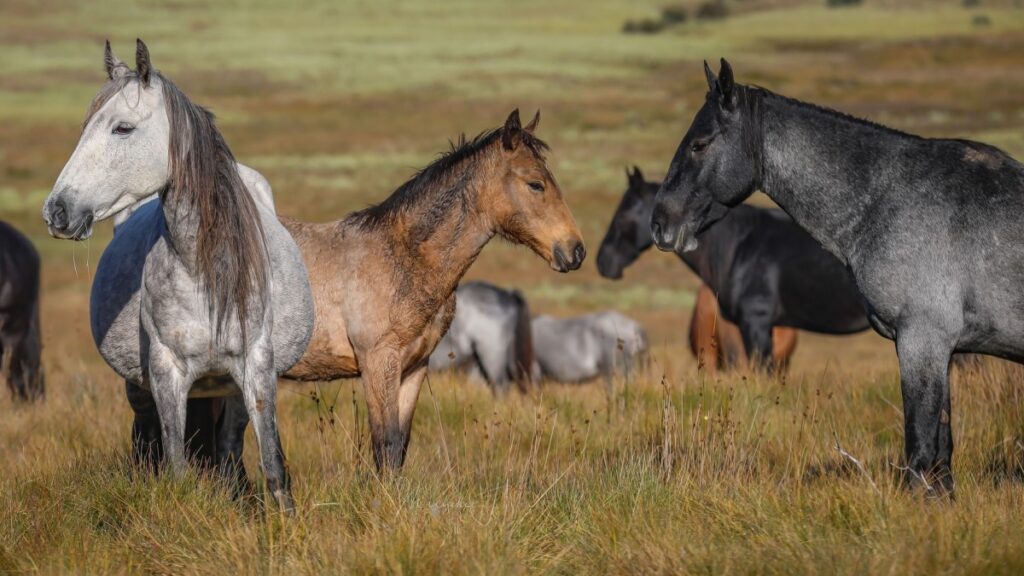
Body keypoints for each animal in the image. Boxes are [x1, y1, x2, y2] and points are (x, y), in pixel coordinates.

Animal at [40, 39, 311, 506]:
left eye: (123, 128)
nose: (56, 211)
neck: (203, 270)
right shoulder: (167, 372)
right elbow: (177, 467)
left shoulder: (257, 366)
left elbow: (274, 466)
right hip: (140, 386)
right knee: (148, 439)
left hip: (231, 387)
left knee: (229, 446)